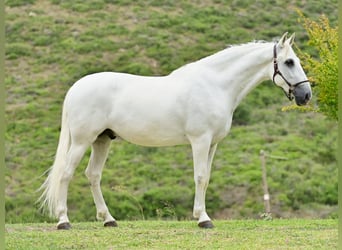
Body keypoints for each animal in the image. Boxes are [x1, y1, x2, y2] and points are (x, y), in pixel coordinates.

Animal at [38, 32, 312, 229]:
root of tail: (76, 88)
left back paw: (109, 220)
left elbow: (206, 177)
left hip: (102, 140)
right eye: (289, 62)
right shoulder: (200, 141)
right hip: (82, 141)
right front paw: (203, 219)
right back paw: (63, 221)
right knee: (66, 175)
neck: (215, 85)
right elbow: (199, 177)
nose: (306, 95)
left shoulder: (212, 144)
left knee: (93, 175)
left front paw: (201, 215)